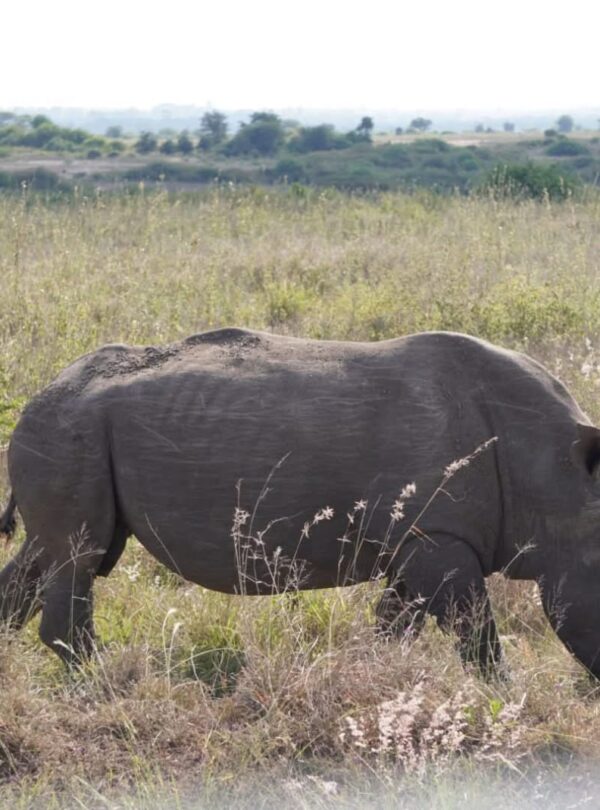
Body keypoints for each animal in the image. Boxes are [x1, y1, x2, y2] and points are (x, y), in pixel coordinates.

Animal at [1, 328, 599, 677]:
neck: (558, 472)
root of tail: (42, 391)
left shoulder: (416, 539)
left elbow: (395, 625)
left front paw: (372, 674)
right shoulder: (437, 537)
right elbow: (477, 637)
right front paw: (501, 702)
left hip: (65, 429)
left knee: (48, 553)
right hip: (69, 428)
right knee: (78, 555)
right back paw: (99, 686)